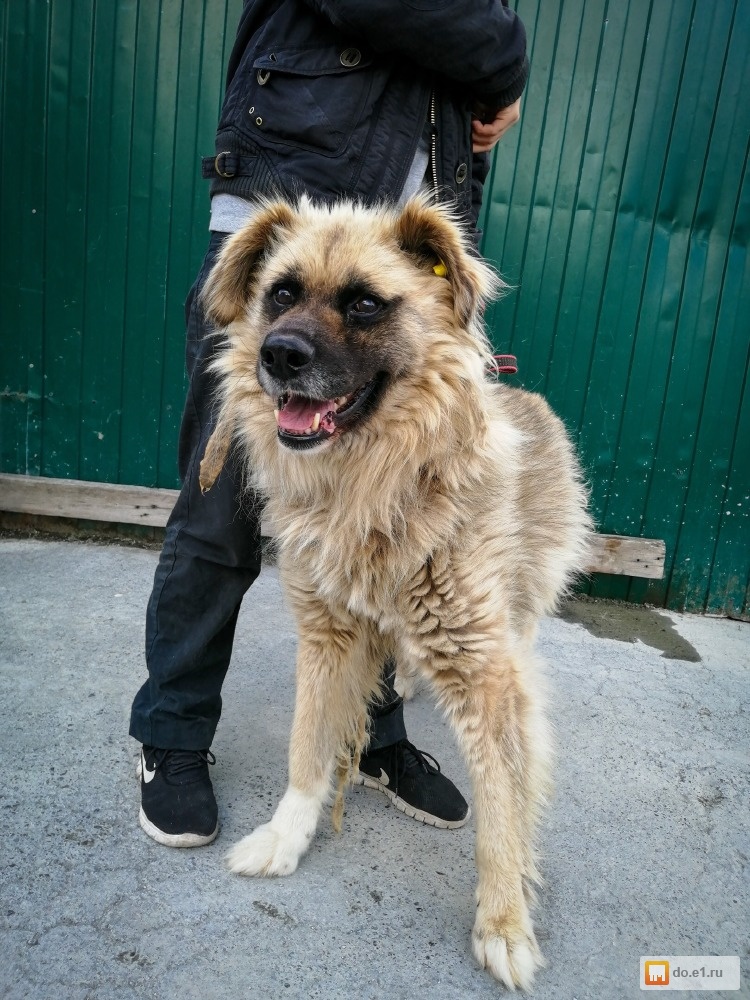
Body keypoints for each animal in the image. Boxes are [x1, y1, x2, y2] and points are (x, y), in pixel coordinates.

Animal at [198, 191, 592, 988]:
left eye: (365, 304)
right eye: (279, 293)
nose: (277, 355)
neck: (376, 483)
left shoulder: (483, 672)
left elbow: (503, 806)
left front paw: (504, 921)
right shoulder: (326, 635)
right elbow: (307, 746)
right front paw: (286, 836)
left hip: (519, 603)